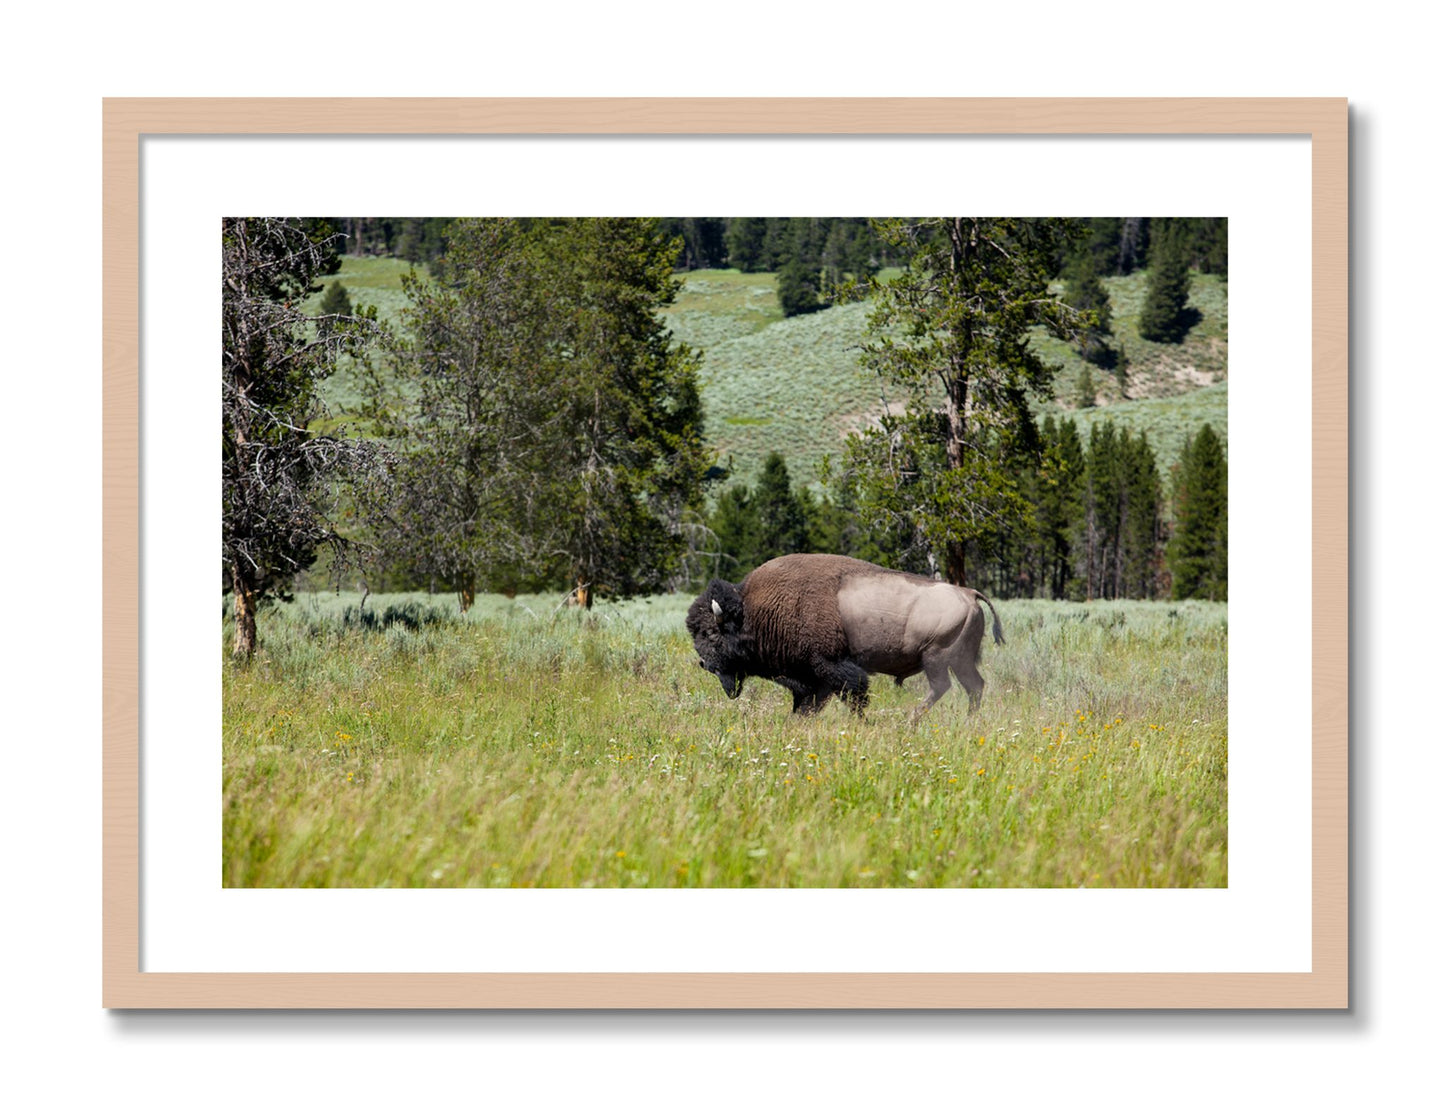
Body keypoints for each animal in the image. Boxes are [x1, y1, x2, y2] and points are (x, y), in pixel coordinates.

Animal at [685, 553, 1004, 720]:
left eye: (711, 633)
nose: (705, 664)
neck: (753, 610)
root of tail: (969, 593)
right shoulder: (813, 679)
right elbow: (808, 705)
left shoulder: (831, 667)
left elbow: (854, 695)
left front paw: (862, 722)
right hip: (960, 660)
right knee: (974, 686)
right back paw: (967, 721)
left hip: (936, 657)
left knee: (943, 687)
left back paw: (910, 720)